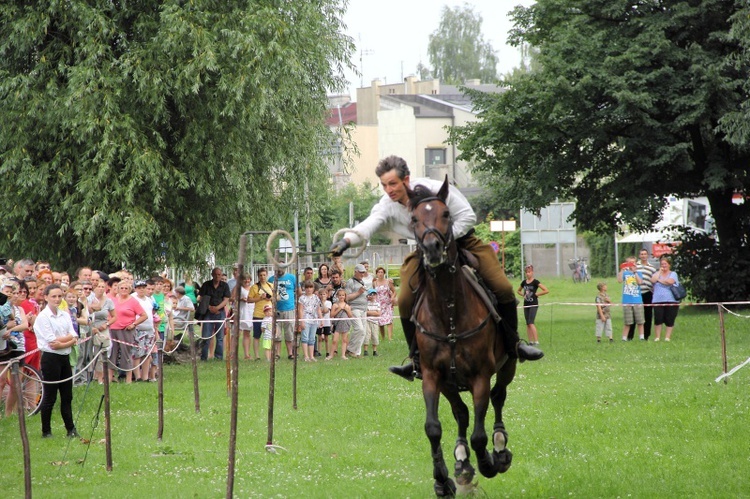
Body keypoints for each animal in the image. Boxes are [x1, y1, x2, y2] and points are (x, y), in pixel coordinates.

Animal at [408, 179, 520, 496]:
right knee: (461, 412)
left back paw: (499, 447)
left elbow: (479, 435)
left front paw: (489, 462)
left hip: (508, 366)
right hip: (449, 384)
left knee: (498, 396)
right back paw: (462, 462)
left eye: (446, 214)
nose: (432, 249)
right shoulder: (432, 376)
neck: (448, 310)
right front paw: (443, 479)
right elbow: (434, 427)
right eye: (414, 219)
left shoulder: (481, 375)